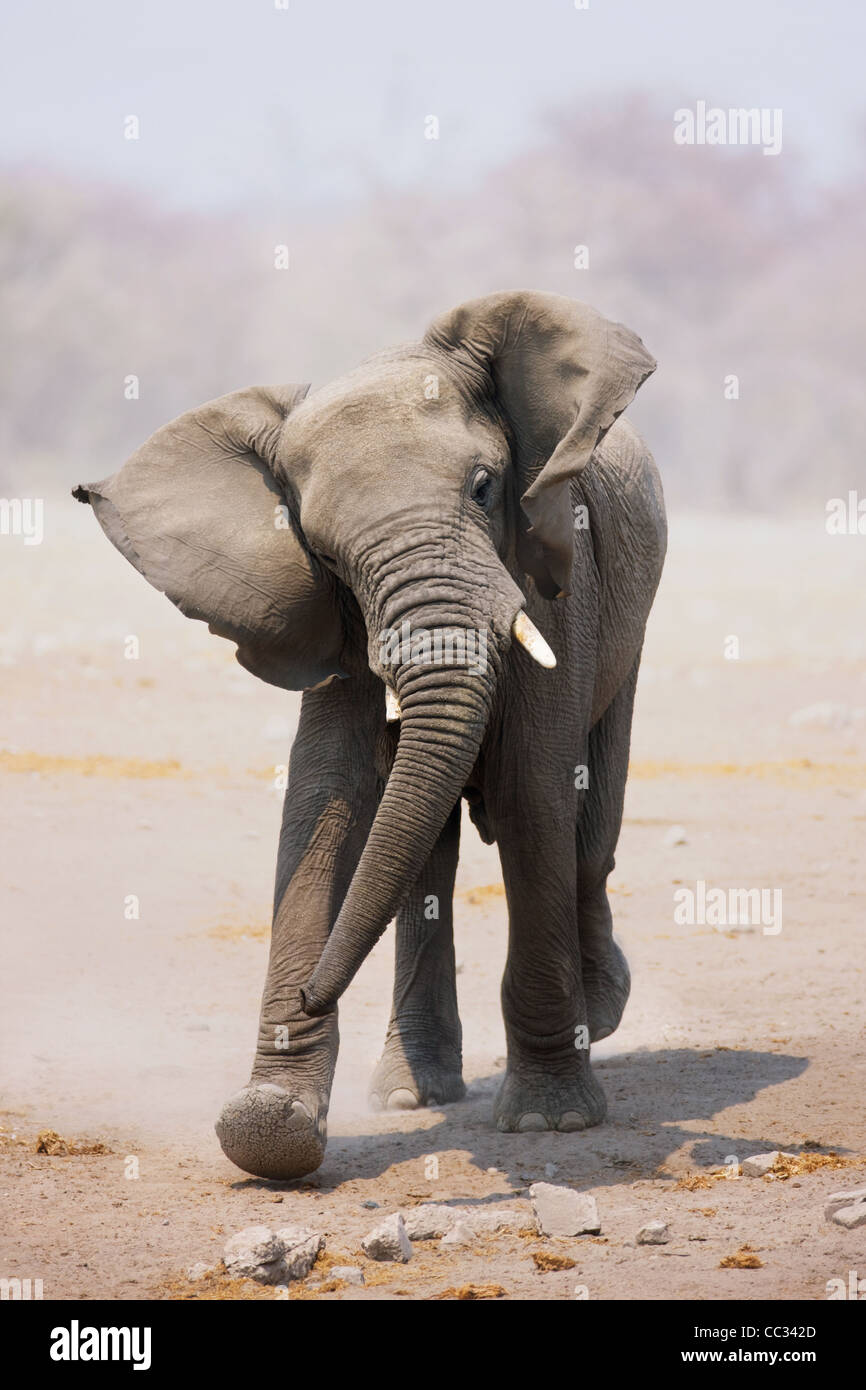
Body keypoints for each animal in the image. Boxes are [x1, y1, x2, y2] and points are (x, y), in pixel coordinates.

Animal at [76, 287, 670, 1178]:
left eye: (484, 488)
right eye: (320, 552)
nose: (309, 995)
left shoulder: (559, 577)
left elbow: (533, 790)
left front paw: (550, 1122)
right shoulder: (333, 621)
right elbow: (330, 801)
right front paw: (270, 1128)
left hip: (630, 619)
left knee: (589, 821)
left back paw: (600, 1013)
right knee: (428, 852)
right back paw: (409, 1094)